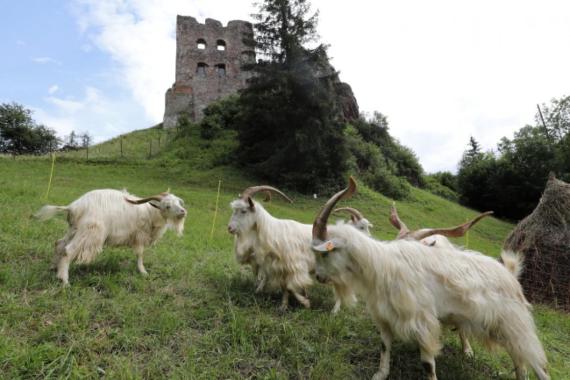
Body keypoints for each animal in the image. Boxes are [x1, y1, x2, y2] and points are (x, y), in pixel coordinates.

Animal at [34, 189, 186, 284]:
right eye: (167, 206)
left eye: (178, 202)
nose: (183, 211)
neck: (150, 212)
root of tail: (73, 207)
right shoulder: (139, 236)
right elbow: (140, 254)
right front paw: (143, 272)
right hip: (89, 232)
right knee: (68, 250)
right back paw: (64, 281)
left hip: (74, 229)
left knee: (59, 244)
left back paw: (54, 267)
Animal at [310, 177, 544, 380]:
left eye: (324, 253)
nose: (318, 277)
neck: (383, 267)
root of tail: (510, 275)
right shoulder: (385, 317)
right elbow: (384, 346)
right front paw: (380, 374)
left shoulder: (422, 323)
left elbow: (428, 364)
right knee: (519, 361)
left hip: (515, 326)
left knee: (534, 362)